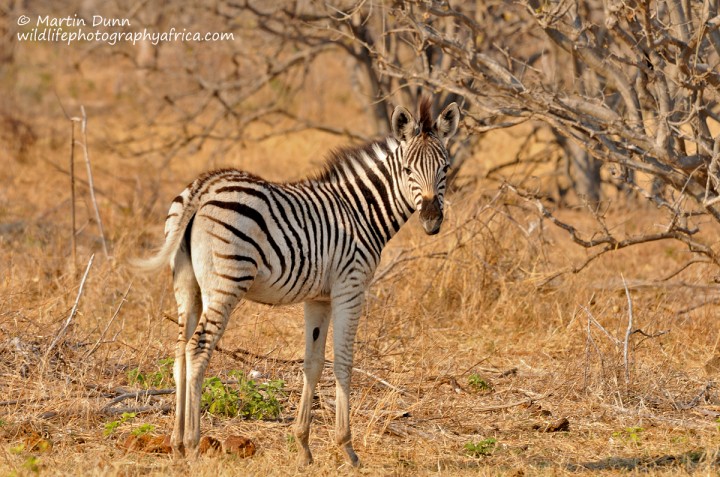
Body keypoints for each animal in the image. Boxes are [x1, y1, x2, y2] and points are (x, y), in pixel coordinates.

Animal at [134, 96, 462, 464]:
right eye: (407, 171)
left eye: (445, 169)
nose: (432, 221)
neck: (360, 212)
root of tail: (203, 186)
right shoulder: (350, 287)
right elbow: (344, 362)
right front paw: (347, 449)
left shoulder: (318, 298)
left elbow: (313, 363)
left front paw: (303, 447)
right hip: (226, 283)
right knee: (198, 349)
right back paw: (193, 444)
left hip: (186, 286)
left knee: (178, 352)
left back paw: (176, 444)